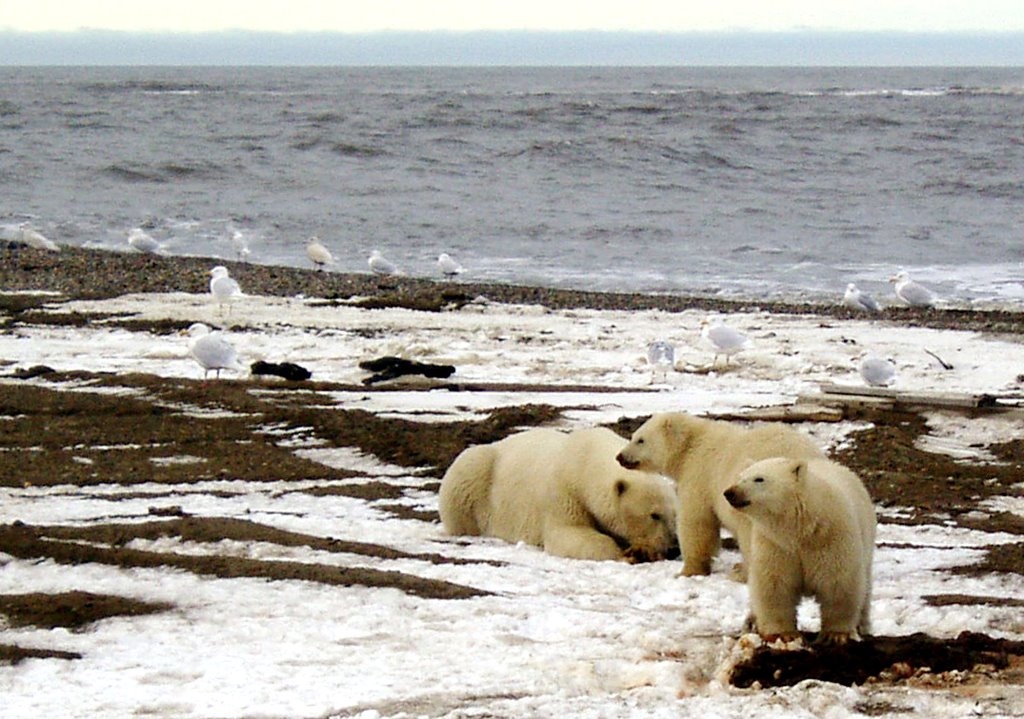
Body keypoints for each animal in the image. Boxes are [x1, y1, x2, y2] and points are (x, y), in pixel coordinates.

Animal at [439, 426, 678, 562]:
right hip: (477, 475)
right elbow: (568, 533)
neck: (585, 462)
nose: (673, 548)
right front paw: (627, 554)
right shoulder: (564, 492)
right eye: (654, 515)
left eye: (674, 515)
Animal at [615, 412, 823, 577]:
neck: (692, 444)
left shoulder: (700, 474)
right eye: (633, 436)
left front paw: (688, 571)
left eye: (640, 440)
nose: (620, 457)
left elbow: (697, 521)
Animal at [723, 457, 876, 644]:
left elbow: (838, 582)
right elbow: (774, 584)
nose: (729, 492)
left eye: (759, 479)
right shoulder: (775, 544)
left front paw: (836, 634)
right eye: (740, 476)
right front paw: (783, 634)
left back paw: (862, 626)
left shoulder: (832, 538)